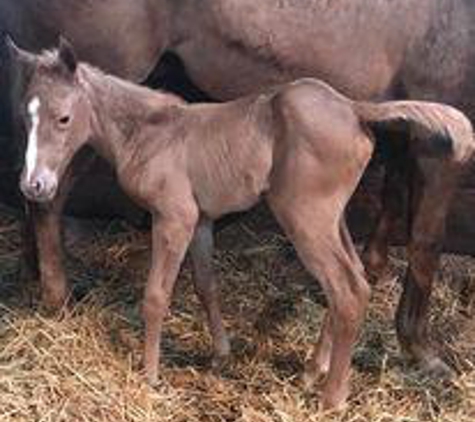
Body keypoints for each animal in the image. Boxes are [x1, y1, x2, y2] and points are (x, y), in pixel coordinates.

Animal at [1, 0, 474, 380]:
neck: (151, 131)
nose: (35, 180)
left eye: (64, 118)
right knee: (47, 204)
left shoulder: (186, 217)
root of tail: (354, 111)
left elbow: (180, 289)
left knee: (348, 284)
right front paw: (422, 349)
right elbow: (425, 241)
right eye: (35, 116)